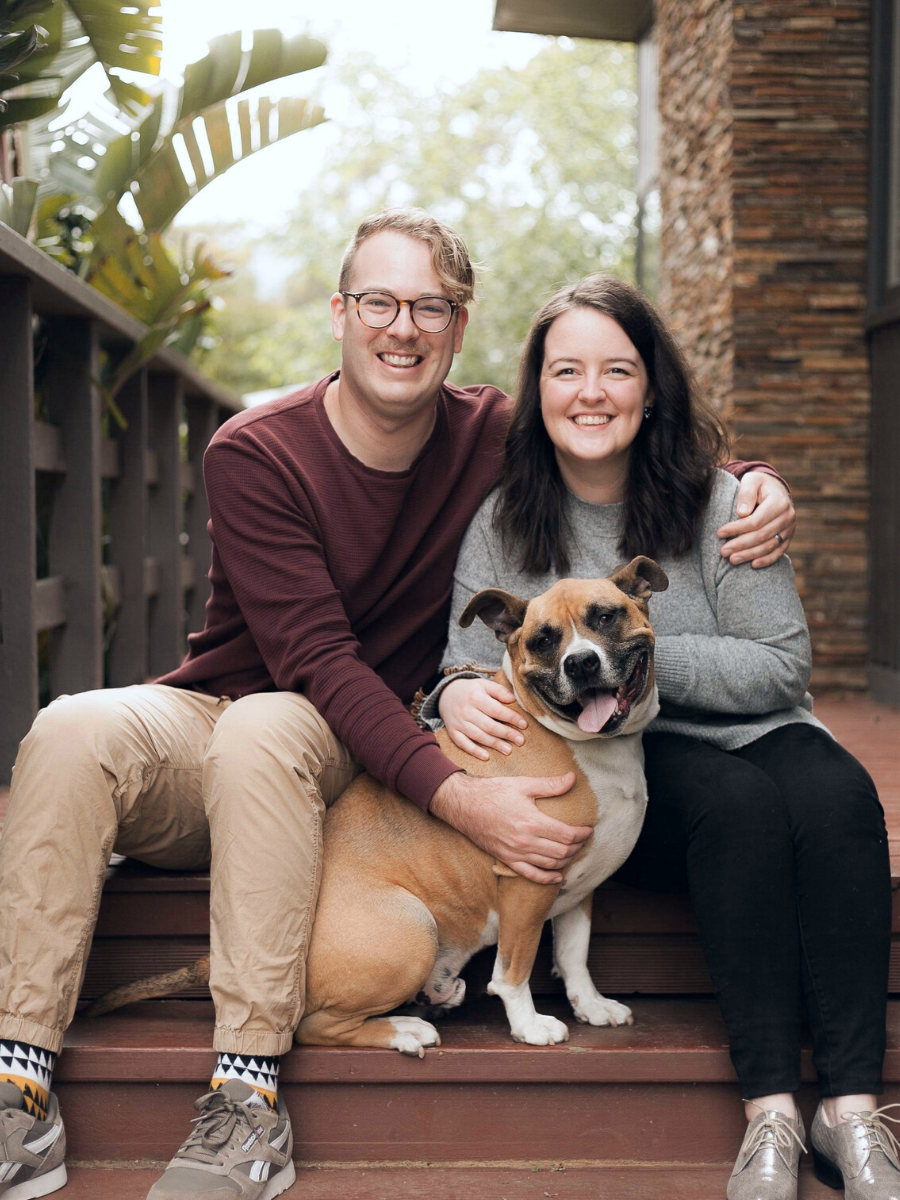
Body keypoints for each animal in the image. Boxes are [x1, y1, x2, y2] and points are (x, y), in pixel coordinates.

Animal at [88, 556, 672, 1056]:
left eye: (605, 616)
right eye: (544, 640)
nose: (581, 662)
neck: (586, 742)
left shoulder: (580, 888)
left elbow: (574, 954)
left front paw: (591, 1006)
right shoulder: (528, 880)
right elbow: (514, 969)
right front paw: (529, 1026)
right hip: (412, 928)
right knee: (311, 1026)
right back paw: (403, 1031)